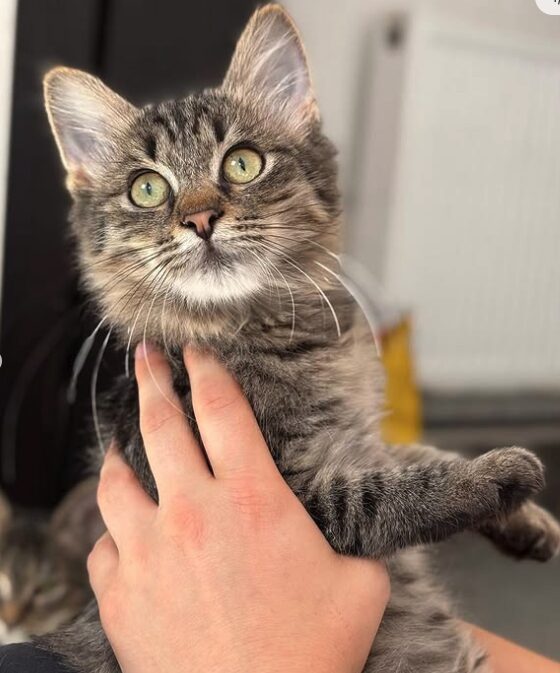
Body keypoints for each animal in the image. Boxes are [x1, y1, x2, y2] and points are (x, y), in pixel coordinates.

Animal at [40, 5, 560, 672]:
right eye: (147, 189)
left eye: (242, 162)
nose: (200, 218)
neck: (267, 329)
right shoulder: (301, 500)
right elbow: (395, 493)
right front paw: (503, 475)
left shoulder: (360, 438)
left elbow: (419, 456)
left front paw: (528, 521)